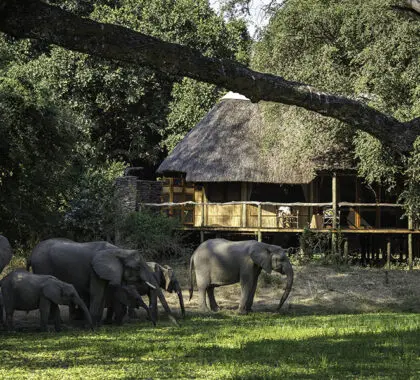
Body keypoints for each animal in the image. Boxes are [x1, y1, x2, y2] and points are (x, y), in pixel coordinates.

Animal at [26, 239, 177, 326]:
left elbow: (104, 294)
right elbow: (97, 294)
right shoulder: (95, 270)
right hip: (42, 266)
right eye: (137, 268)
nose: (176, 324)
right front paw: (94, 325)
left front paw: (99, 323)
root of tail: (31, 254)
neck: (118, 251)